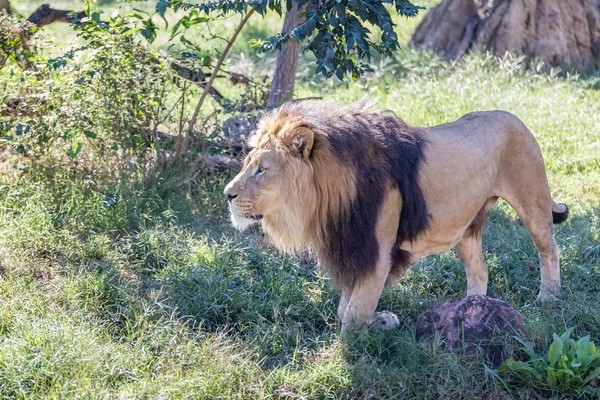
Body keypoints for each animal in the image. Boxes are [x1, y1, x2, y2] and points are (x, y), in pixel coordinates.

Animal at [224, 101, 568, 334]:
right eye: (248, 163)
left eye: (261, 170)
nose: (227, 194)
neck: (328, 198)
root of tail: (511, 116)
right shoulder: (356, 250)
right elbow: (345, 309)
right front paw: (384, 321)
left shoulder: (376, 253)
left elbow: (353, 315)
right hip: (466, 228)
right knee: (480, 270)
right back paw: (471, 312)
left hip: (532, 202)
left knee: (549, 249)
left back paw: (548, 298)